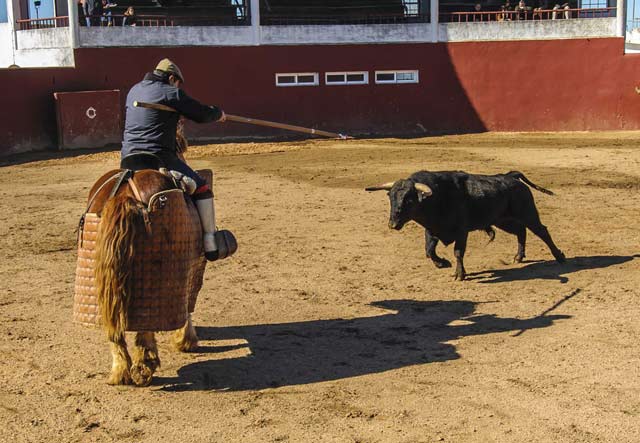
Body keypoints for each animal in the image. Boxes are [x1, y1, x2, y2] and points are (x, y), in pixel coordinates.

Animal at [364, 171, 564, 280]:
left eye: (409, 199)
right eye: (391, 197)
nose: (392, 224)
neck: (437, 198)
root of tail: (510, 176)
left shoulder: (461, 231)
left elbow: (458, 252)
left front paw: (459, 274)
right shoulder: (432, 229)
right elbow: (429, 250)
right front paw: (442, 263)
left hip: (527, 213)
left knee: (541, 231)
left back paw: (559, 256)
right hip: (502, 220)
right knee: (520, 231)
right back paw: (518, 257)